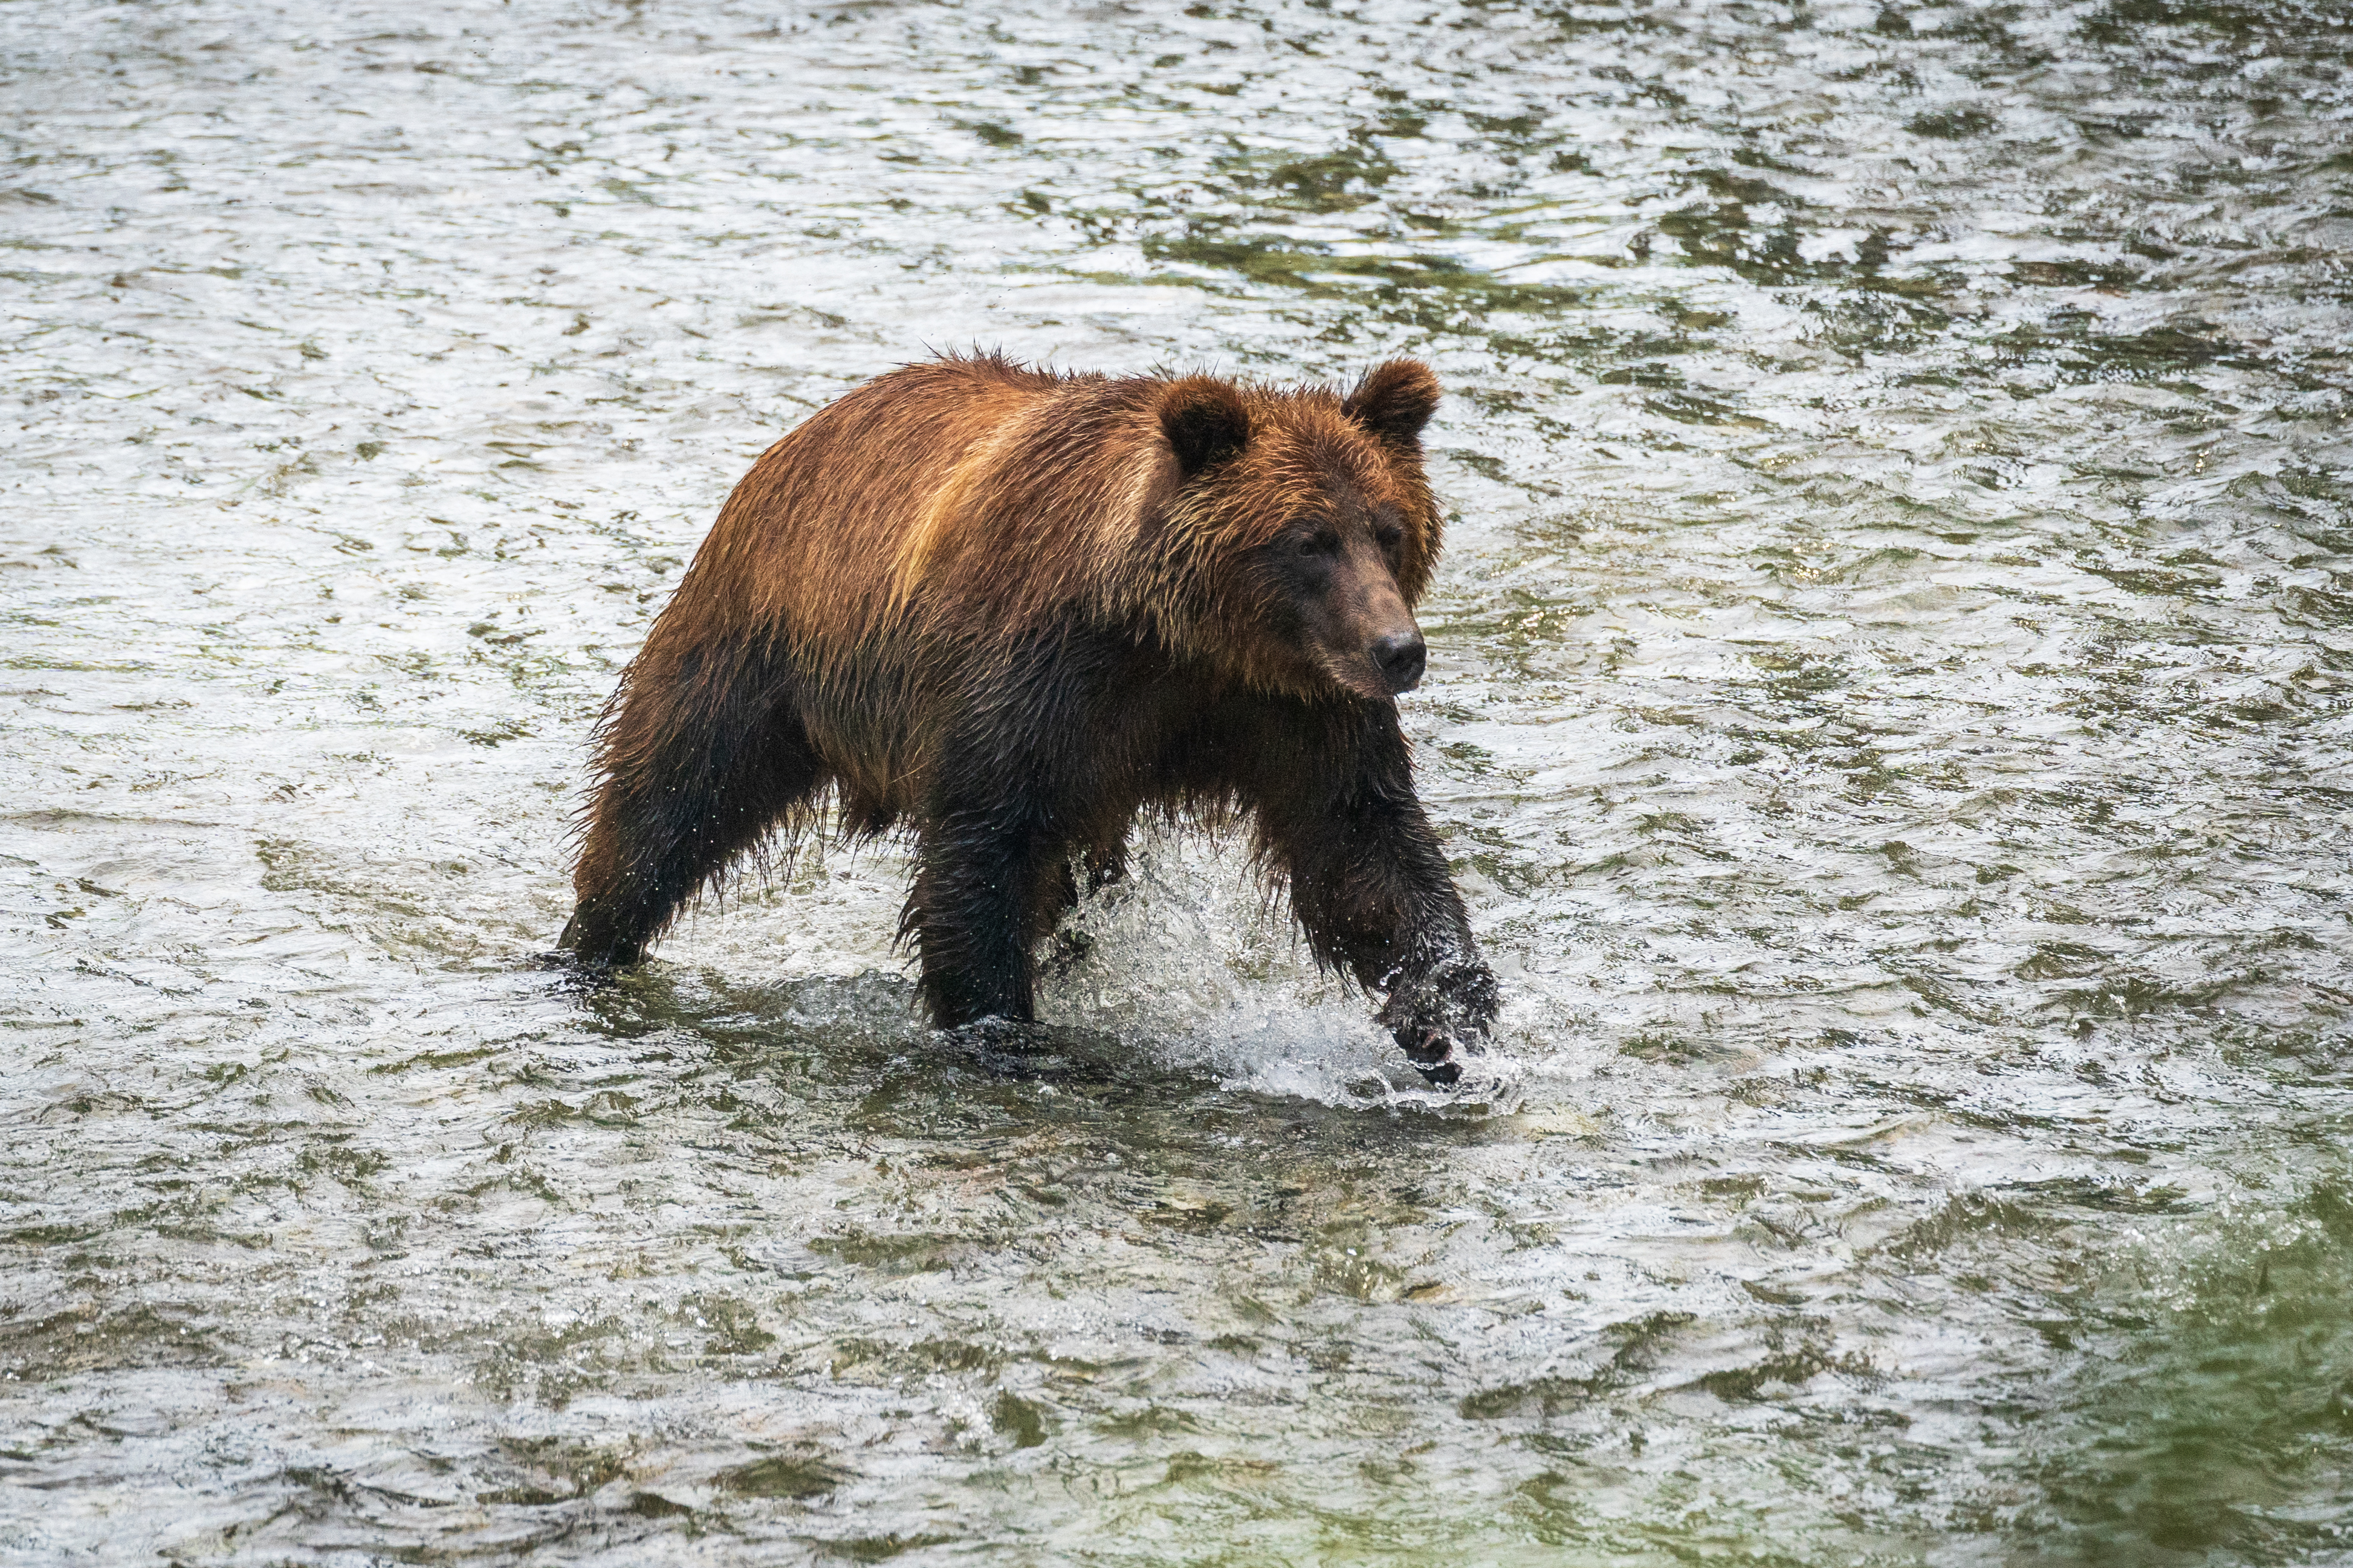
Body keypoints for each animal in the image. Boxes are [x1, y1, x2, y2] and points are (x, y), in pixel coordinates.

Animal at [558, 353, 1498, 1083]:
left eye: (1388, 529)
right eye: (1309, 540)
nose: (1398, 650)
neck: (1187, 638)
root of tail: (804, 432)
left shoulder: (1291, 706)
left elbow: (1360, 845)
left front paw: (1449, 1015)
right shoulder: (1040, 676)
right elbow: (984, 849)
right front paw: (1002, 1030)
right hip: (760, 647)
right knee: (670, 798)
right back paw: (586, 948)